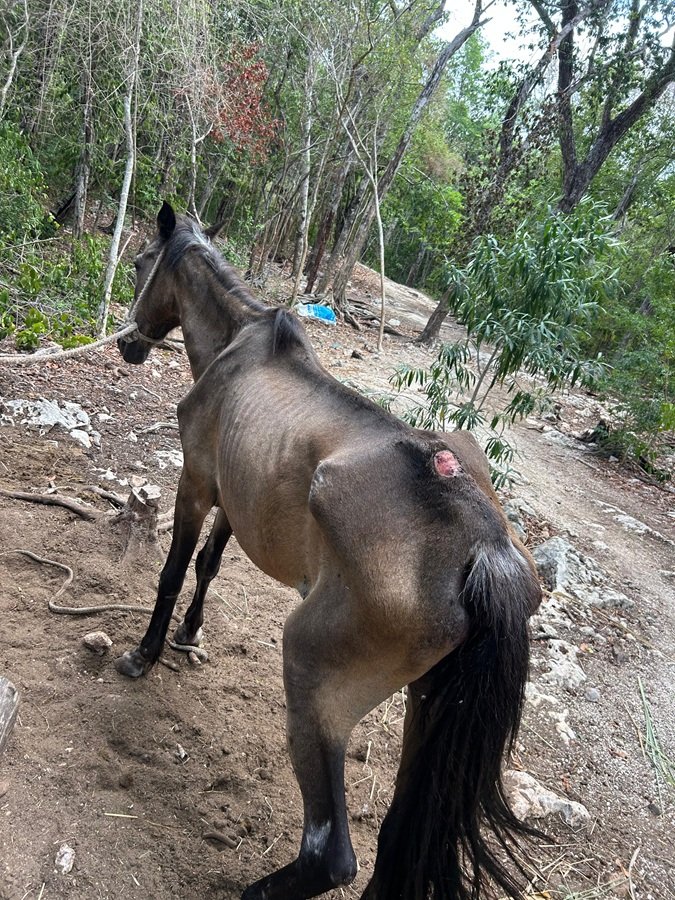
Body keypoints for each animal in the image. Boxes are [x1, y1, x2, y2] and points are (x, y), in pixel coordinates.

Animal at [116, 201, 542, 900]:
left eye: (138, 265)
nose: (128, 344)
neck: (241, 347)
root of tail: (484, 547)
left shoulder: (198, 483)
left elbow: (174, 571)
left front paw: (146, 653)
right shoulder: (238, 497)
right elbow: (208, 565)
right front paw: (188, 634)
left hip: (313, 681)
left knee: (331, 854)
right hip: (427, 708)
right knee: (398, 838)